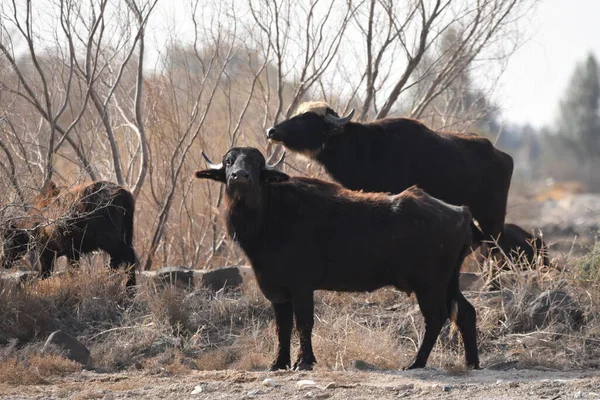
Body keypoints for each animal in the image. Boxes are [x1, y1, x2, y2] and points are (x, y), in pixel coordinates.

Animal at [1, 180, 137, 288]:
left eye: (7, 240)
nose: (3, 261)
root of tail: (125, 194)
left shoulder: (47, 251)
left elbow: (46, 273)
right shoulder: (71, 251)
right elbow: (72, 271)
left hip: (108, 238)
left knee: (126, 255)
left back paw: (128, 287)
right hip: (124, 233)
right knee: (121, 258)